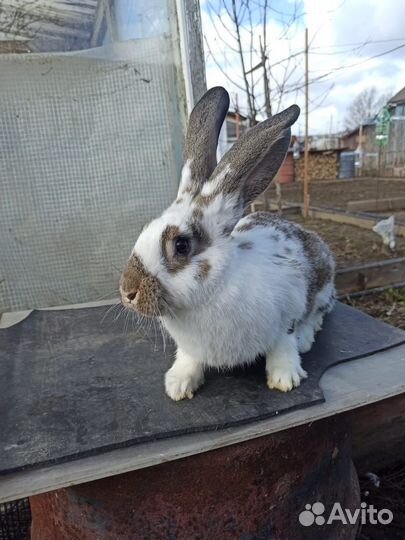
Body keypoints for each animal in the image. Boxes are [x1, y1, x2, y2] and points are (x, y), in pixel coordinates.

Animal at [120, 86, 334, 400]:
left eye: (181, 246)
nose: (127, 292)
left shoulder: (286, 316)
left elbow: (284, 346)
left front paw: (285, 378)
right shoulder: (190, 348)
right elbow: (188, 360)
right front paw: (178, 386)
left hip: (323, 285)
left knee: (319, 314)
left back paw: (306, 339)